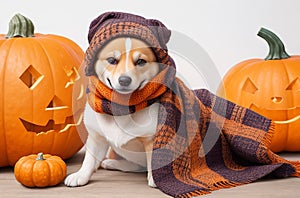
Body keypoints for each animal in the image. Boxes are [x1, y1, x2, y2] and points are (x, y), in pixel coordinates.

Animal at [64, 36, 161, 187]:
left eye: (140, 61)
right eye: (112, 60)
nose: (124, 80)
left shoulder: (151, 139)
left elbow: (154, 159)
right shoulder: (97, 137)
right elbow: (89, 160)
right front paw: (81, 175)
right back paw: (111, 163)